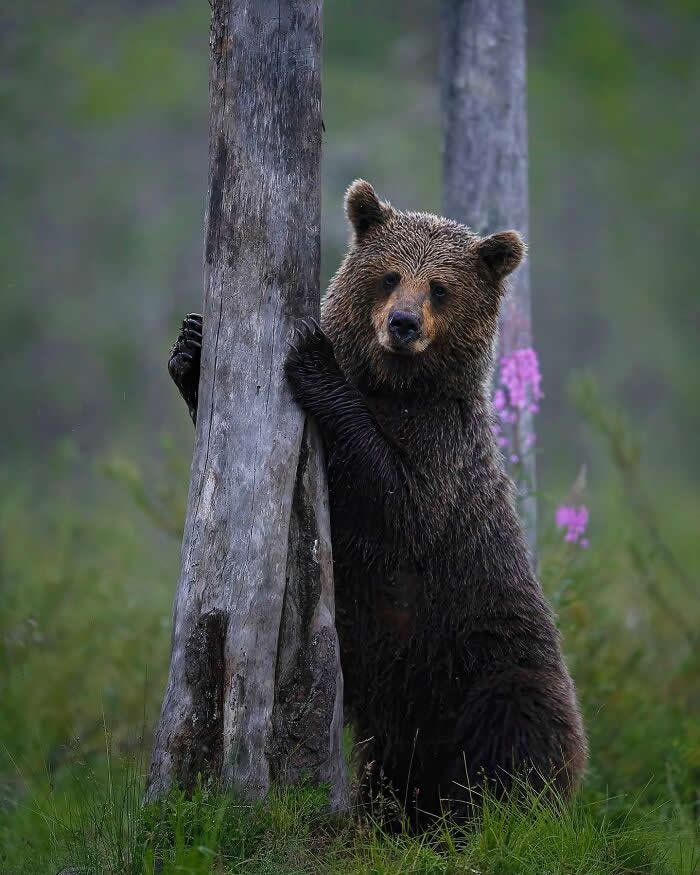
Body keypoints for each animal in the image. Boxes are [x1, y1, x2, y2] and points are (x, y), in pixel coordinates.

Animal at [168, 180, 587, 826]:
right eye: (389, 275)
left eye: (439, 286)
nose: (404, 323)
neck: (396, 385)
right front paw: (190, 346)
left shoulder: (441, 447)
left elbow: (397, 501)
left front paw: (314, 359)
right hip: (398, 704)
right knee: (396, 770)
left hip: (484, 654)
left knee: (515, 734)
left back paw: (499, 813)